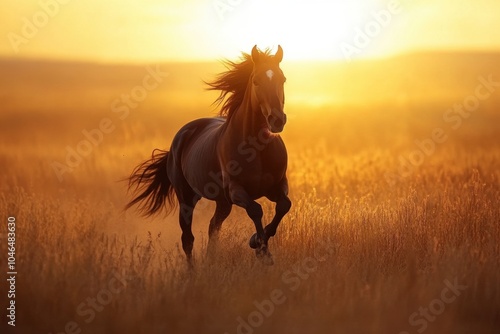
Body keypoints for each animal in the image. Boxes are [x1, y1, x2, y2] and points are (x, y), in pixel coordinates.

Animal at [124, 44, 290, 264]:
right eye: (256, 80)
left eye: (283, 78)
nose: (277, 120)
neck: (256, 149)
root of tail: (181, 136)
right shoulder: (236, 190)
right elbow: (256, 209)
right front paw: (261, 248)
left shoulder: (277, 186)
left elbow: (284, 206)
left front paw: (257, 242)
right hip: (187, 197)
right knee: (188, 238)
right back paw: (193, 269)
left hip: (222, 202)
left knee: (213, 227)